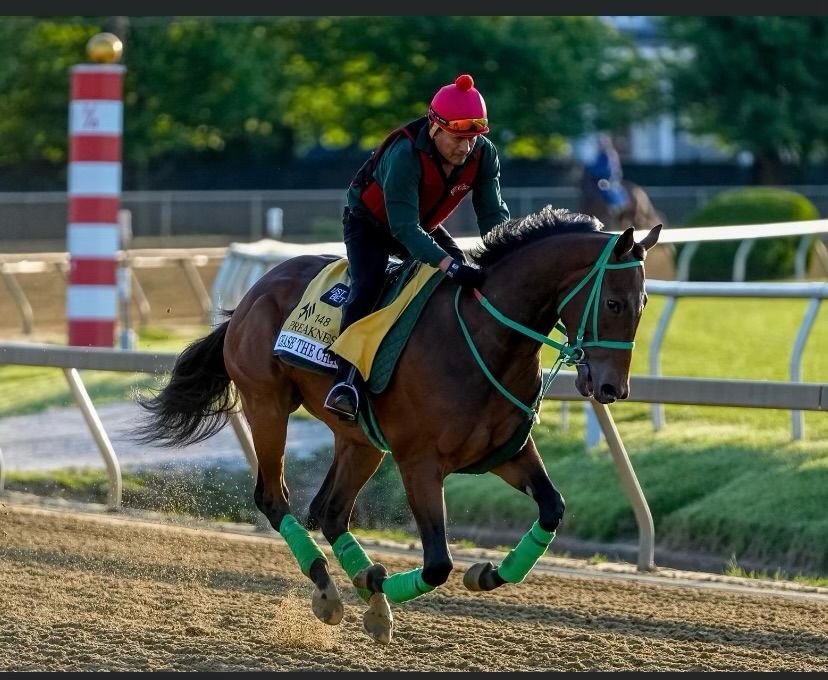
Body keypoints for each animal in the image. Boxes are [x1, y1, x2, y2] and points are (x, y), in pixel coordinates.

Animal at [134, 206, 661, 645]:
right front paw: (378, 583)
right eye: (614, 304)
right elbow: (437, 564)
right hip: (267, 406)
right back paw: (332, 592)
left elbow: (552, 507)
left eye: (643, 303)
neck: (484, 339)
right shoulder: (419, 463)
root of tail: (253, 294)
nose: (612, 387)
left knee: (329, 511)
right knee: (273, 497)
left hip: (360, 439)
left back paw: (363, 594)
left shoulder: (507, 452)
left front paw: (486, 574)